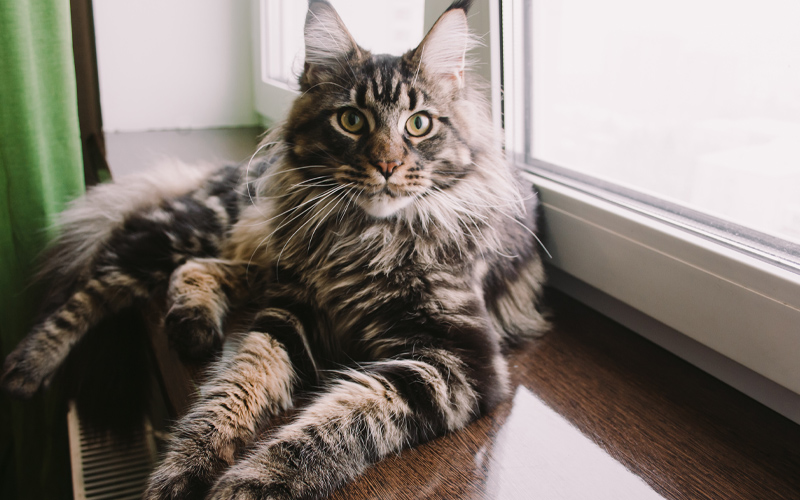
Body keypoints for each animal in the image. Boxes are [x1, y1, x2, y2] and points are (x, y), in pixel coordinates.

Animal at [0, 1, 548, 498]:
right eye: (351, 120)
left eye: (419, 124)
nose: (388, 166)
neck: (365, 237)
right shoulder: (290, 314)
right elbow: (234, 388)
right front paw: (184, 467)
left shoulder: (456, 361)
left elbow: (340, 421)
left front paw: (253, 481)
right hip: (209, 230)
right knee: (99, 284)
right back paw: (28, 365)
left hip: (260, 258)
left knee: (196, 269)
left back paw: (193, 325)